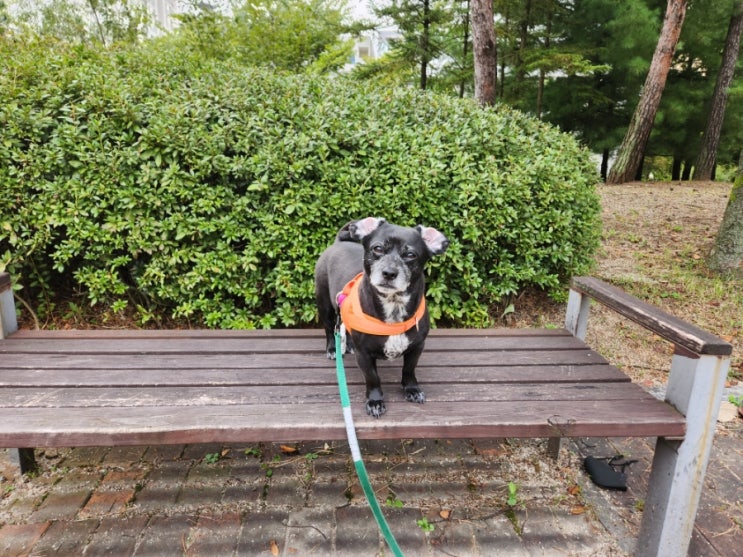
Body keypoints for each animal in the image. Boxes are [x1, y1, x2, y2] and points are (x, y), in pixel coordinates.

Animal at [314, 217, 448, 416]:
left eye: (411, 254)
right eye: (377, 248)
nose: (389, 273)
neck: (394, 305)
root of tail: (338, 242)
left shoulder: (417, 347)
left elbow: (409, 370)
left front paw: (412, 389)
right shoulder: (364, 355)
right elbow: (372, 377)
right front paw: (375, 401)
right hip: (325, 306)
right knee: (330, 329)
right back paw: (332, 349)